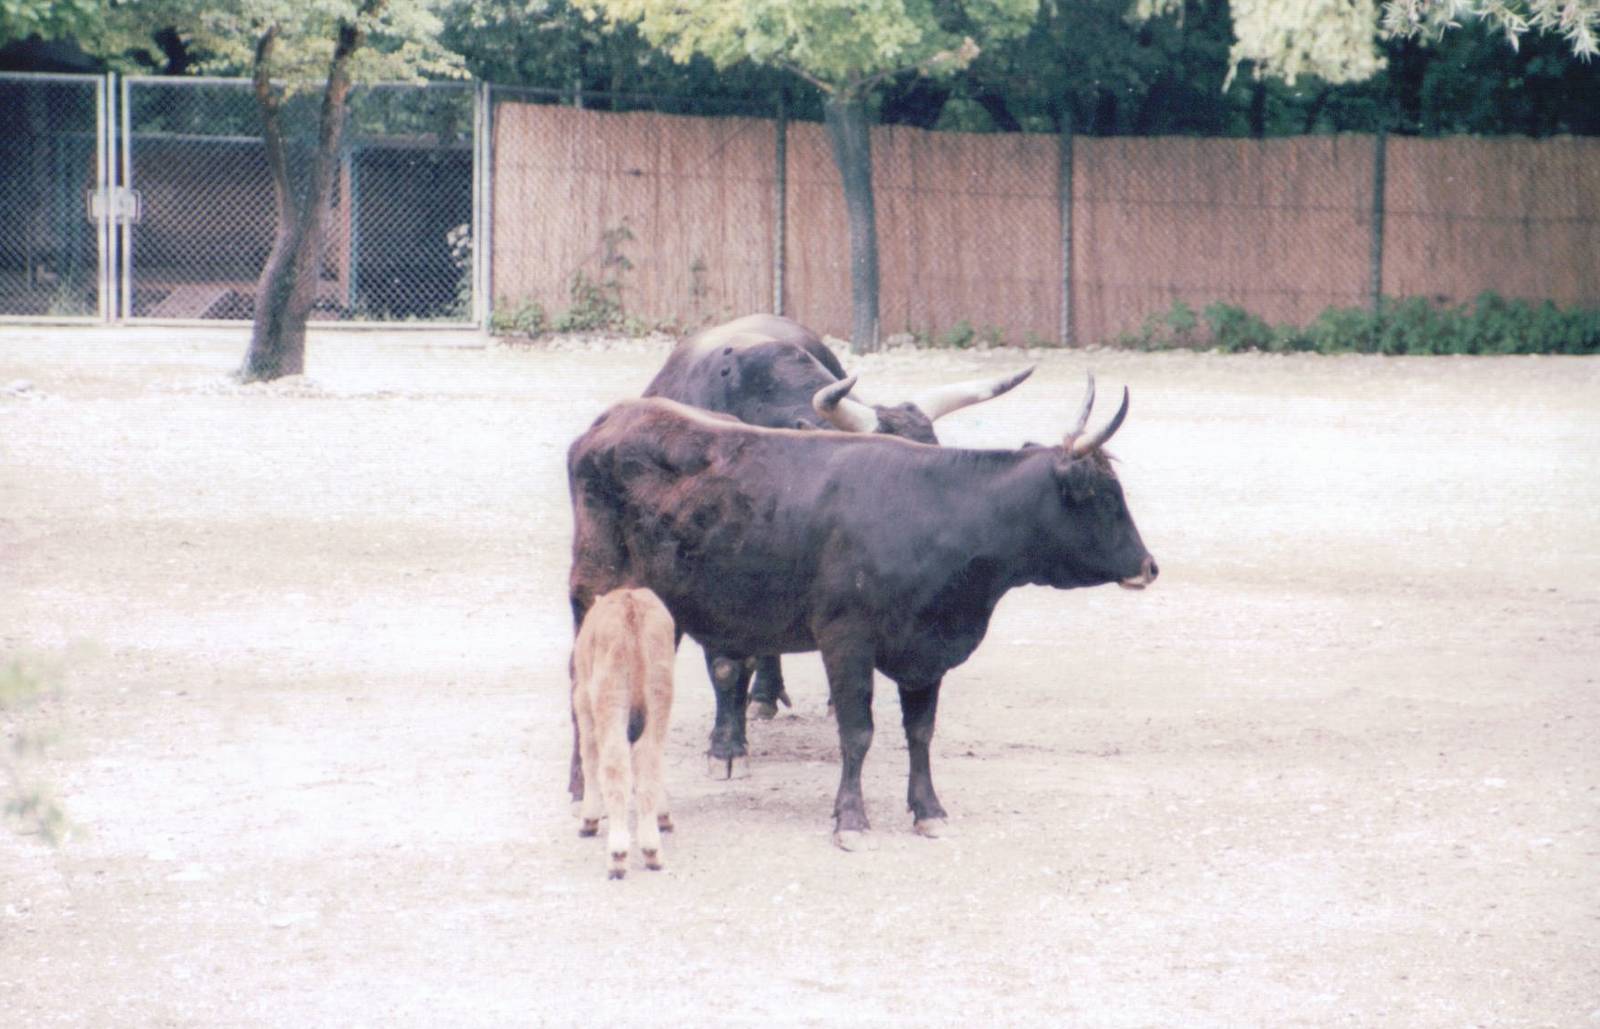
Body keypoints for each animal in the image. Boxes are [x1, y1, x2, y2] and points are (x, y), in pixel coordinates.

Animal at [567, 374, 1157, 849]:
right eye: (1101, 496)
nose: (1149, 566)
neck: (939, 513)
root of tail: (608, 422)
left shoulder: (925, 650)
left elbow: (920, 732)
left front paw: (929, 811)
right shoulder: (846, 640)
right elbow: (858, 732)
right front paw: (851, 819)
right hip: (591, 595)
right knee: (583, 691)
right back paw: (582, 790)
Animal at [571, 587, 677, 879]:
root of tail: (631, 607)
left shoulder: (583, 702)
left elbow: (589, 757)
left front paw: (588, 820)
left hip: (609, 701)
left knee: (614, 767)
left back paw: (618, 855)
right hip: (659, 696)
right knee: (649, 762)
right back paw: (652, 849)